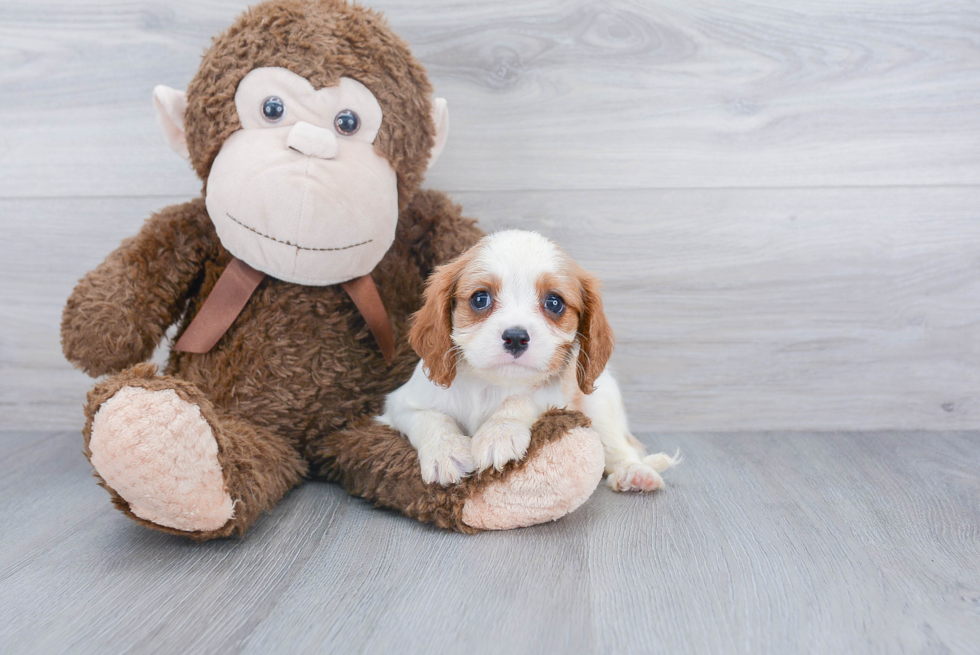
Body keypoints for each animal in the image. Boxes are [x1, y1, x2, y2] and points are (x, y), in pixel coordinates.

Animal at [378, 231, 676, 492]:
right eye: (480, 299)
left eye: (554, 302)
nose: (515, 337)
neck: (489, 386)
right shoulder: (399, 404)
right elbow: (430, 418)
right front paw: (445, 452)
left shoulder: (556, 398)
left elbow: (521, 399)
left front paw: (499, 434)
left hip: (601, 405)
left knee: (617, 446)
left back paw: (634, 472)